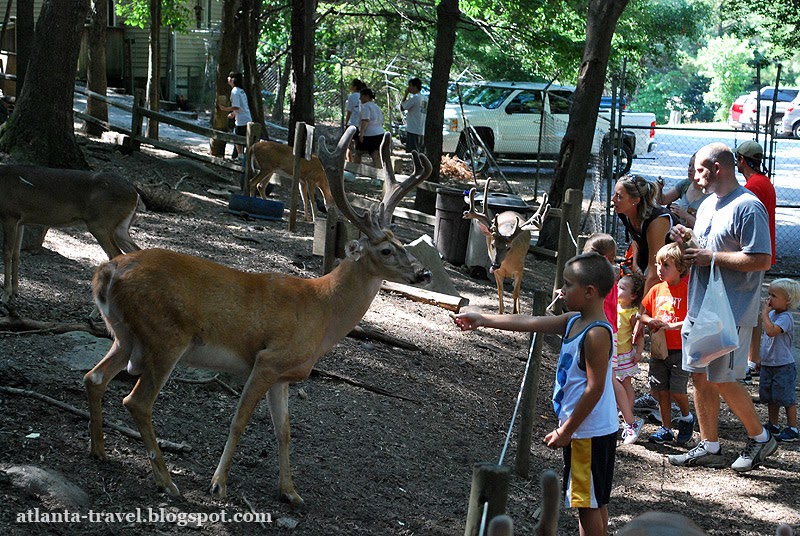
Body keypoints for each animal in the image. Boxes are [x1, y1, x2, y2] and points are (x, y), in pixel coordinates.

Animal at [0, 165, 141, 304]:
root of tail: (135, 192)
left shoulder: (9, 215)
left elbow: (7, 253)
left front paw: (5, 294)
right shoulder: (20, 221)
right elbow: (16, 253)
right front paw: (14, 292)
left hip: (100, 224)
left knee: (117, 255)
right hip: (120, 228)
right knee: (135, 252)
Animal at [83, 125, 432, 506]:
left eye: (402, 242)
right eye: (385, 250)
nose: (423, 273)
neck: (322, 310)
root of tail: (106, 273)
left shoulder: (284, 374)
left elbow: (285, 431)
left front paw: (290, 492)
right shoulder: (267, 359)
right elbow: (240, 420)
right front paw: (218, 484)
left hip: (126, 335)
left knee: (94, 378)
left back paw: (99, 451)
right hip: (165, 336)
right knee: (137, 401)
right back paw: (166, 482)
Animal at [462, 179, 552, 314]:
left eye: (508, 247)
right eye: (493, 245)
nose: (495, 264)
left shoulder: (520, 269)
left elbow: (515, 293)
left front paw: (515, 313)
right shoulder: (497, 272)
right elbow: (500, 292)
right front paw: (500, 313)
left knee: (516, 290)